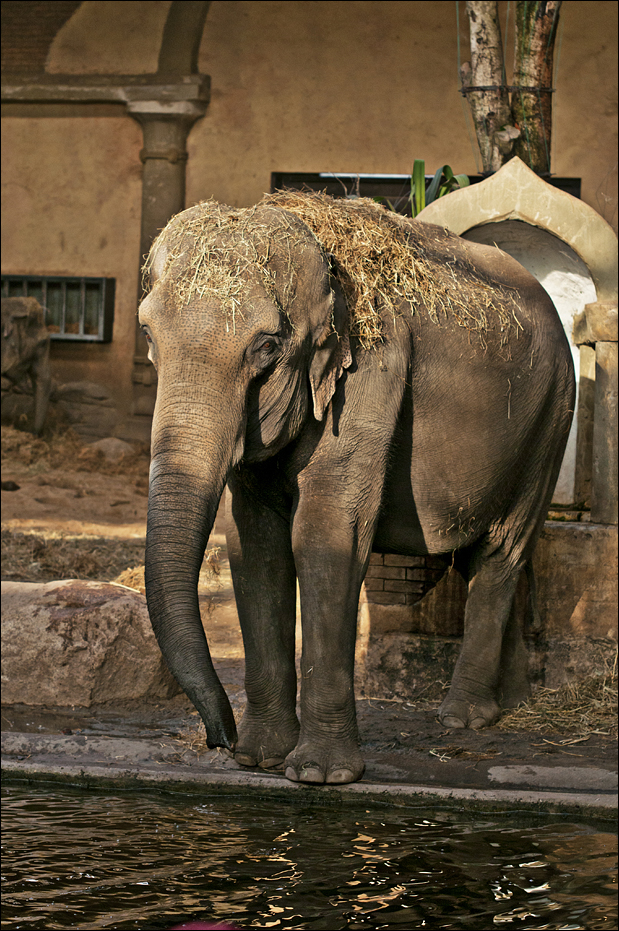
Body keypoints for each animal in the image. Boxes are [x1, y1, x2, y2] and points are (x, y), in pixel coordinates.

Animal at [139, 192, 574, 785]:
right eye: (148, 335)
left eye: (266, 347)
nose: (218, 739)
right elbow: (256, 544)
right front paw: (260, 758)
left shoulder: (372, 373)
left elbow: (324, 534)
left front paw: (319, 775)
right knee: (485, 554)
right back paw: (506, 706)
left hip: (552, 421)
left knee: (501, 553)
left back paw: (462, 718)